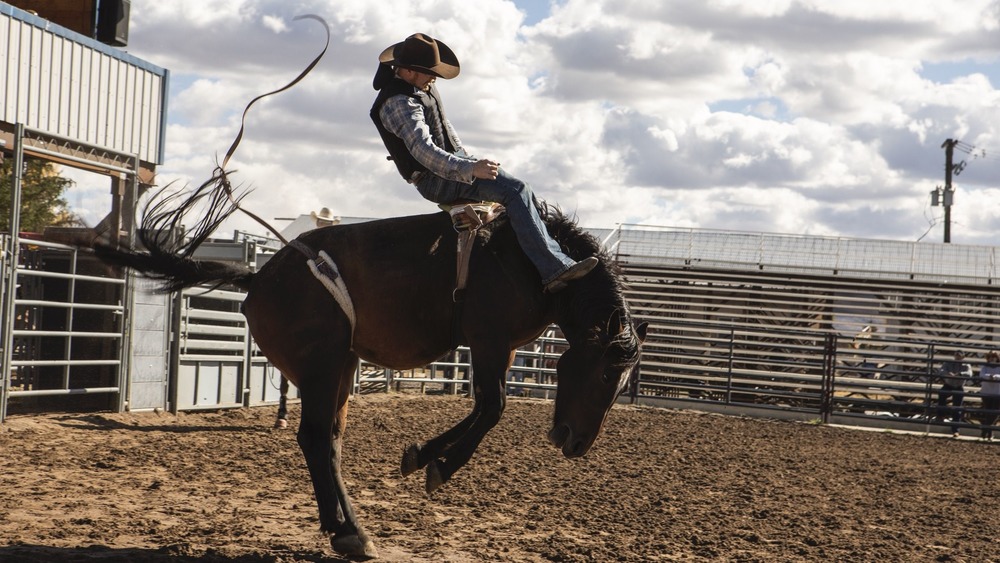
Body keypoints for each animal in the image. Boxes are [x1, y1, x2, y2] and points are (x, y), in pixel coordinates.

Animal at [94, 180, 648, 560]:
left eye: (624, 382)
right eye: (606, 375)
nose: (576, 444)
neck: (534, 264)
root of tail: (259, 277)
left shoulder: (504, 348)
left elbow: (484, 408)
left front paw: (419, 456)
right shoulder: (488, 340)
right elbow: (493, 407)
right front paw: (436, 465)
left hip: (341, 365)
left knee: (328, 440)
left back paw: (344, 527)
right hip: (320, 365)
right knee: (316, 436)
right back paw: (350, 532)